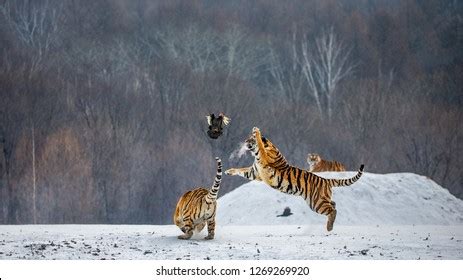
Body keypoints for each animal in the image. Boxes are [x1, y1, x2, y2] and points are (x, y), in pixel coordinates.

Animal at [227, 127, 364, 232]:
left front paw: (257, 131)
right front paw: (229, 171)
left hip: (317, 203)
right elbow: (241, 170)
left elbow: (260, 145)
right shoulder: (254, 172)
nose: (245, 141)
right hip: (321, 200)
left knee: (332, 210)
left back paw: (329, 227)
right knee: (334, 205)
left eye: (251, 139)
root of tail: (325, 180)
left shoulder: (262, 160)